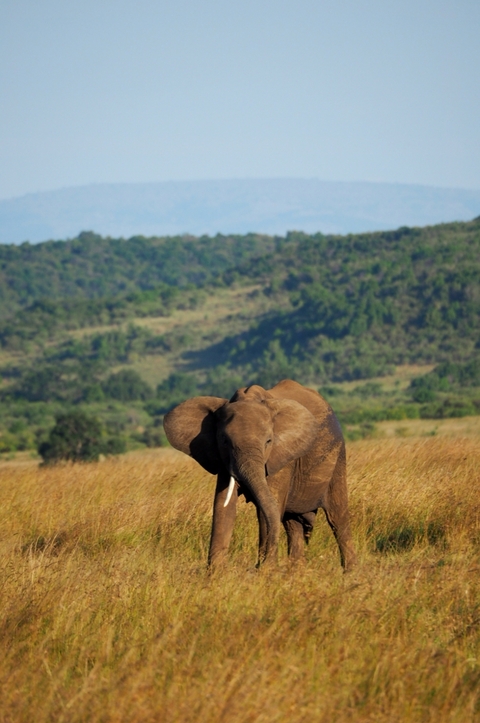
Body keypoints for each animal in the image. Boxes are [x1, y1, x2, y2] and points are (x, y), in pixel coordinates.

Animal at [163, 379, 356, 571]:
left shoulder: (281, 458)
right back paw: (295, 571)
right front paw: (216, 573)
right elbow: (223, 506)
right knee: (292, 524)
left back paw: (350, 572)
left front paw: (266, 571)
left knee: (337, 517)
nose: (256, 566)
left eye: (268, 441)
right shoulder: (223, 461)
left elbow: (269, 508)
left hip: (338, 456)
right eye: (224, 441)